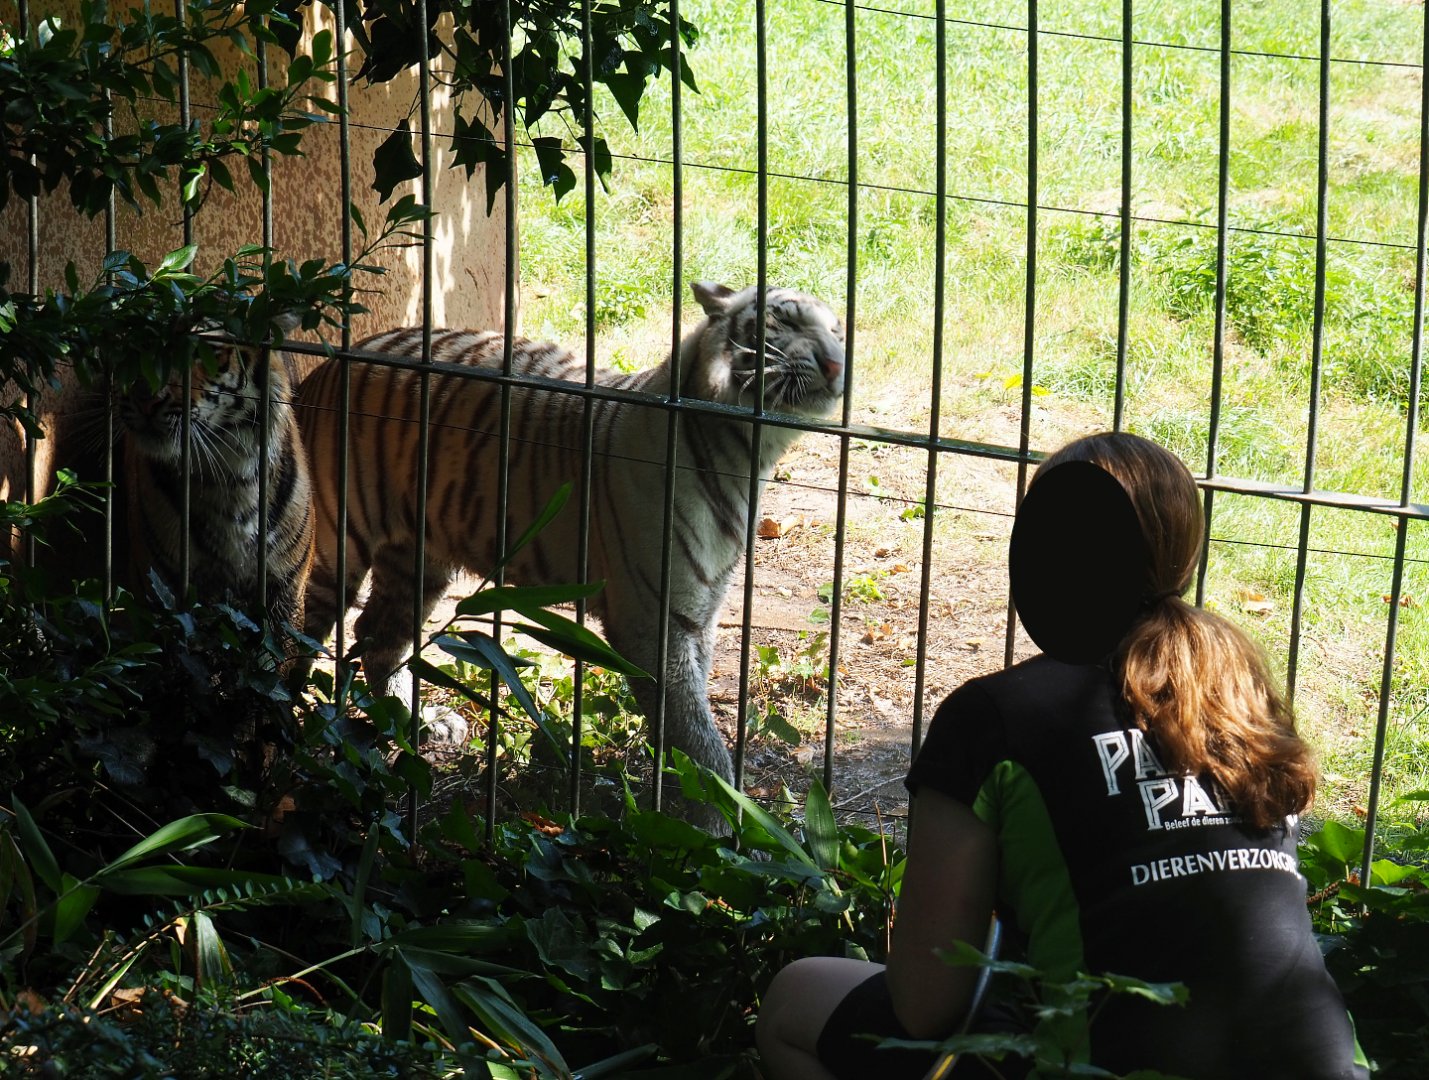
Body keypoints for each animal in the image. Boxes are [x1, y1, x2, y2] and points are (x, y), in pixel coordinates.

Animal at [296, 281, 846, 797]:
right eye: (785, 322)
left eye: (837, 328)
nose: (838, 361)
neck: (752, 451)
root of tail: (327, 367)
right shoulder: (656, 620)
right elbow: (695, 735)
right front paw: (721, 818)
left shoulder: (701, 613)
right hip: (343, 540)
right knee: (307, 629)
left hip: (418, 557)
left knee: (377, 636)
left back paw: (418, 722)